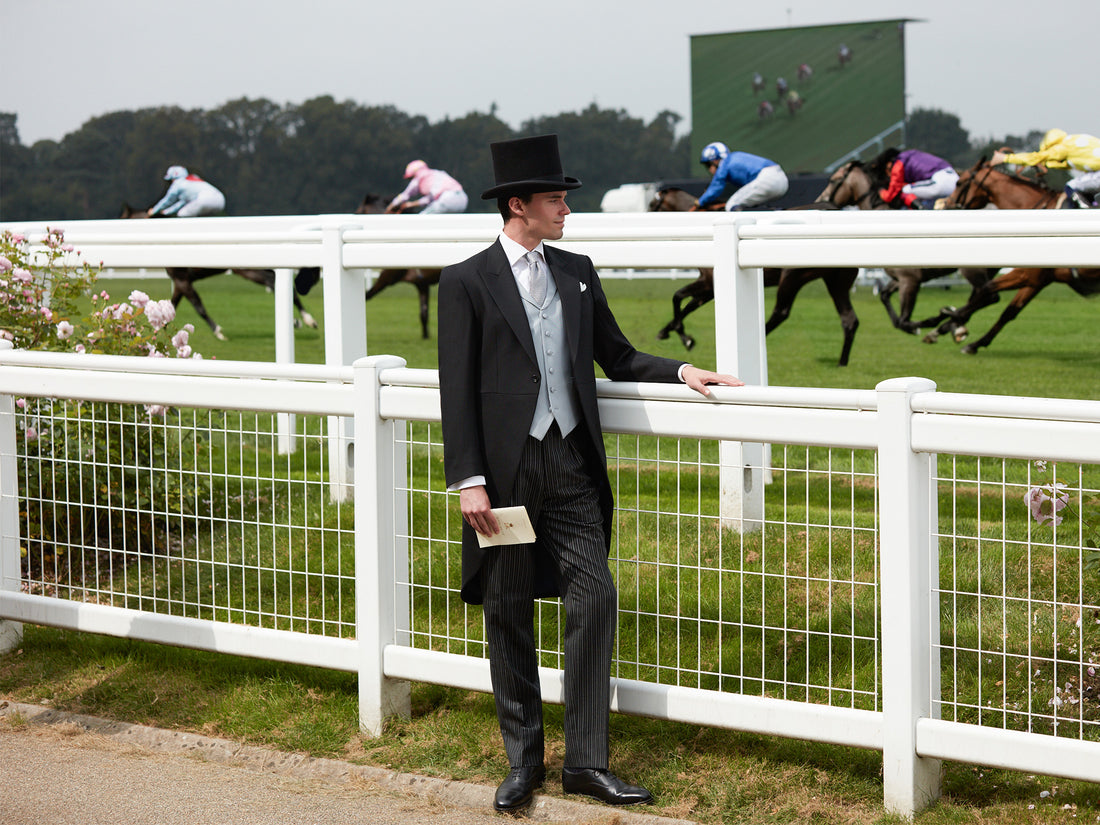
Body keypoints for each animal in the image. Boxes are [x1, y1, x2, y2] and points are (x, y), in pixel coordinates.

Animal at [119, 203, 319, 343]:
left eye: (123, 218)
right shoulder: (179, 282)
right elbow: (171, 305)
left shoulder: (183, 280)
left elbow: (198, 307)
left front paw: (219, 332)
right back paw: (299, 320)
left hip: (247, 270)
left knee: (273, 281)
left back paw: (306, 319)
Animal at [646, 189, 862, 369]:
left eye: (651, 204)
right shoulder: (710, 288)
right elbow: (686, 305)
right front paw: (671, 333)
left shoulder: (708, 283)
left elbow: (677, 297)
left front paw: (683, 336)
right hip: (836, 282)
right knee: (849, 319)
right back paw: (842, 362)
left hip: (792, 276)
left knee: (781, 312)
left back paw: (757, 339)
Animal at [818, 159, 998, 341]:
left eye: (833, 180)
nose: (820, 200)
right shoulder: (900, 278)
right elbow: (885, 298)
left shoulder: (909, 280)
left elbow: (904, 320)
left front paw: (929, 322)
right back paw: (955, 326)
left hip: (971, 269)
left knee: (989, 295)